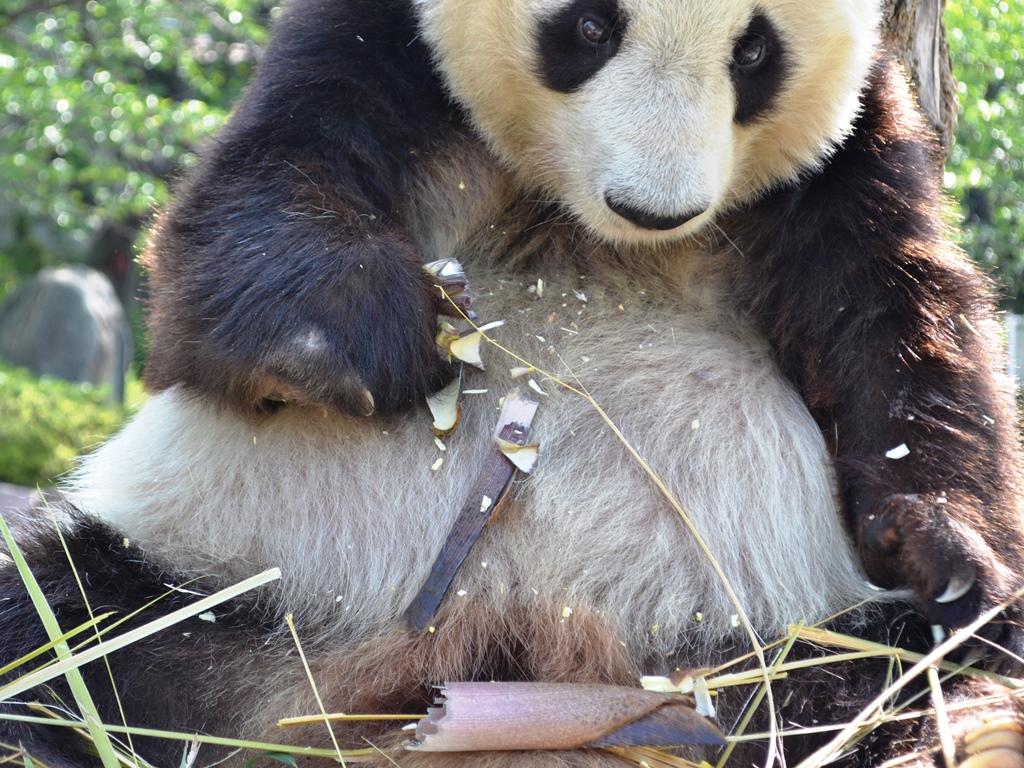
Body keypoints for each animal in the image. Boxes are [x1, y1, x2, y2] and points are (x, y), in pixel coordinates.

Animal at [2, 0, 1024, 765]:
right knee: (62, 618)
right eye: (590, 26)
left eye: (756, 51)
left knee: (895, 674)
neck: (572, 215)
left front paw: (937, 547)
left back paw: (950, 716)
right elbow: (225, 245)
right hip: (243, 592)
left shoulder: (855, 139)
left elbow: (898, 322)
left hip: (737, 641)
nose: (653, 208)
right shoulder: (375, 46)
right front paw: (375, 337)